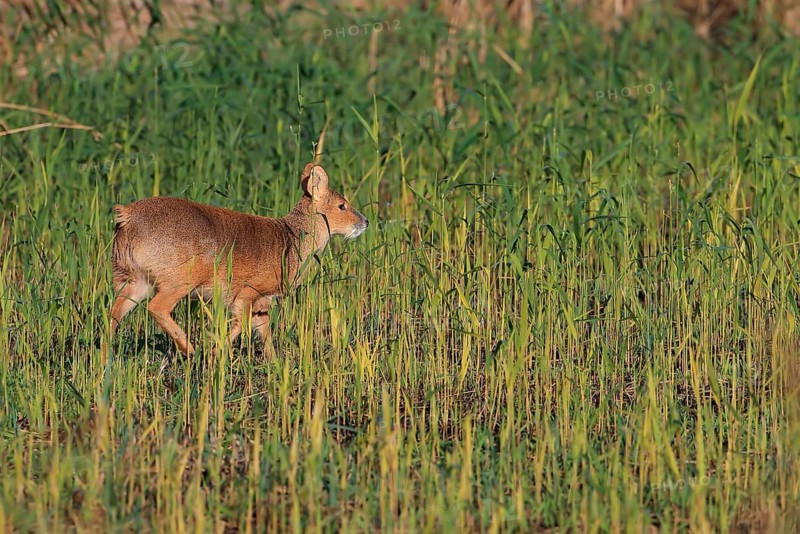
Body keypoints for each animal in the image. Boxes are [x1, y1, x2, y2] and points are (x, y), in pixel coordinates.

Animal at [109, 162, 368, 357]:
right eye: (342, 205)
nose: (365, 222)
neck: (291, 242)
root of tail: (127, 216)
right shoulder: (246, 293)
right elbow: (241, 325)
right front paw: (214, 352)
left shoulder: (263, 301)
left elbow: (265, 334)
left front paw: (274, 364)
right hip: (179, 279)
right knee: (156, 307)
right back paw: (189, 349)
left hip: (132, 278)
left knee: (113, 312)